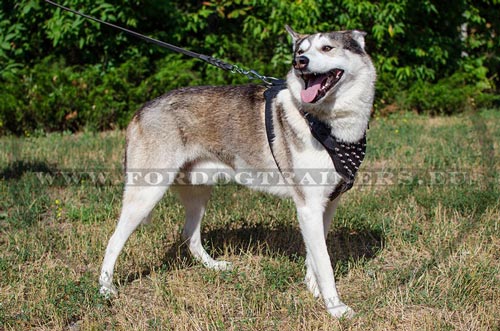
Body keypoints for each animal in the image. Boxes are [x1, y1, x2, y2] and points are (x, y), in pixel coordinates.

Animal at [98, 26, 376, 320]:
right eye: (301, 51)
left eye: (327, 48)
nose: (299, 63)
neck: (326, 124)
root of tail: (140, 111)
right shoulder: (308, 207)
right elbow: (324, 262)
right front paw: (335, 306)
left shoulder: (327, 205)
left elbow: (316, 255)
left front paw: (314, 289)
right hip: (146, 194)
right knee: (114, 240)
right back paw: (106, 289)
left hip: (198, 192)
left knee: (189, 235)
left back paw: (213, 266)